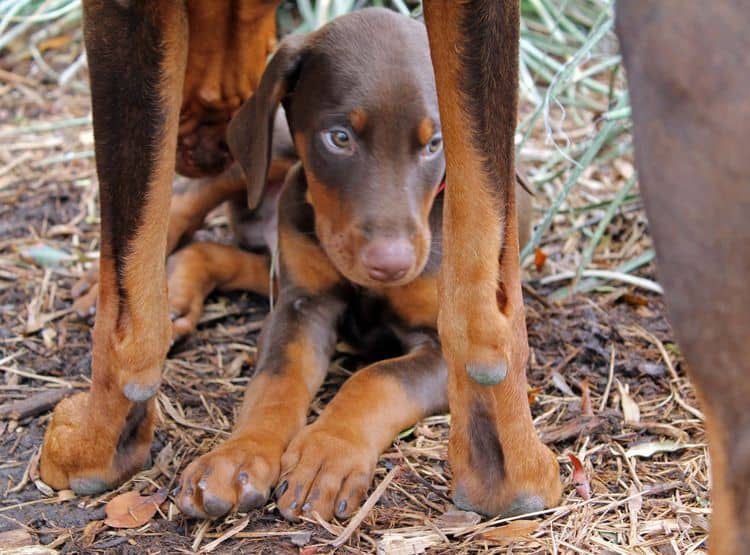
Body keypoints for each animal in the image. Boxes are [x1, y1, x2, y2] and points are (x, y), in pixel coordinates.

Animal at [36, 2, 750, 552]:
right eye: (339, 139)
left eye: (434, 145)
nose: (388, 263)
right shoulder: (303, 306)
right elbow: (274, 383)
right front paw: (240, 458)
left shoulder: (434, 347)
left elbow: (374, 380)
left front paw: (326, 454)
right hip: (272, 160)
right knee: (193, 196)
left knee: (224, 249)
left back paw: (182, 290)